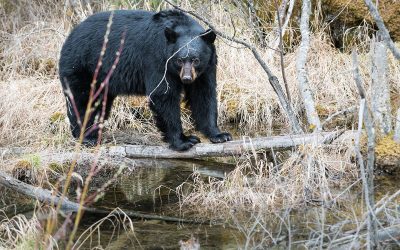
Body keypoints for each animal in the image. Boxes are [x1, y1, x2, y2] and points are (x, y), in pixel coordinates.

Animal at [58, 9, 231, 150]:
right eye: (179, 60)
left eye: (195, 60)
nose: (187, 78)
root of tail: (70, 36)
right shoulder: (158, 59)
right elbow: (163, 94)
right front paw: (184, 141)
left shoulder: (207, 67)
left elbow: (204, 94)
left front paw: (219, 134)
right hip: (83, 66)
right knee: (83, 101)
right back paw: (87, 137)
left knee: (100, 105)